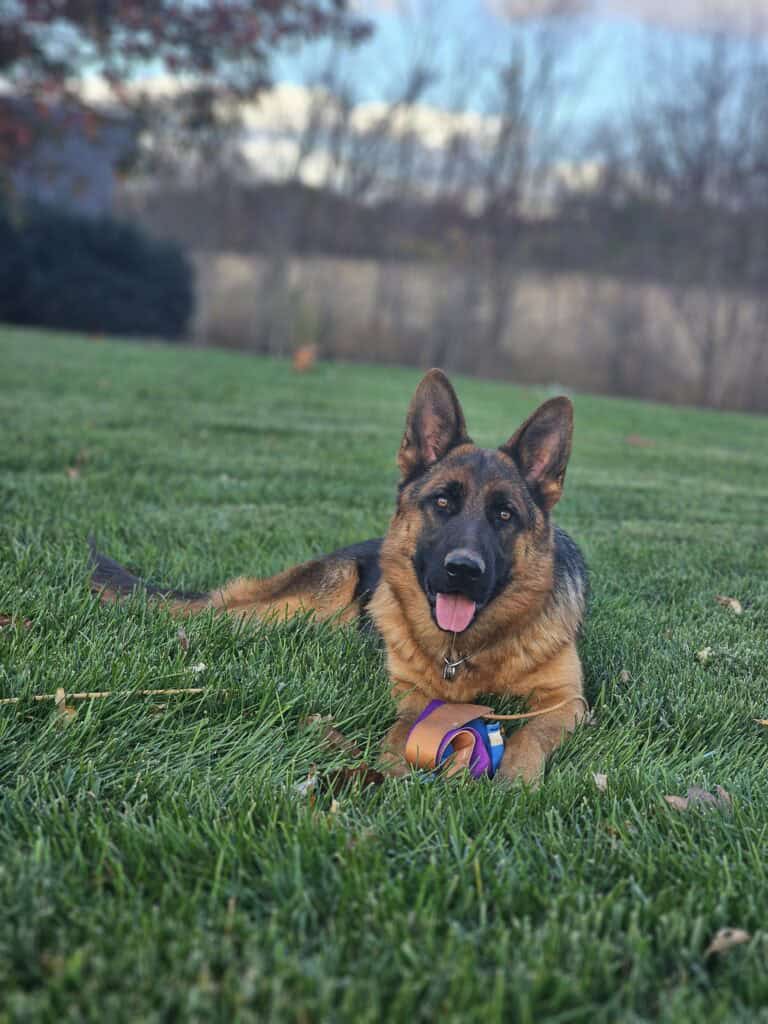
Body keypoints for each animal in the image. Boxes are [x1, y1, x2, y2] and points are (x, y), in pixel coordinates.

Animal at [91, 369, 587, 782]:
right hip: (311, 598)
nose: (462, 570)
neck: (463, 653)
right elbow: (404, 725)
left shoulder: (565, 701)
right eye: (443, 502)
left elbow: (530, 735)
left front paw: (515, 778)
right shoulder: (409, 693)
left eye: (504, 515)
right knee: (221, 615)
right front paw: (395, 768)